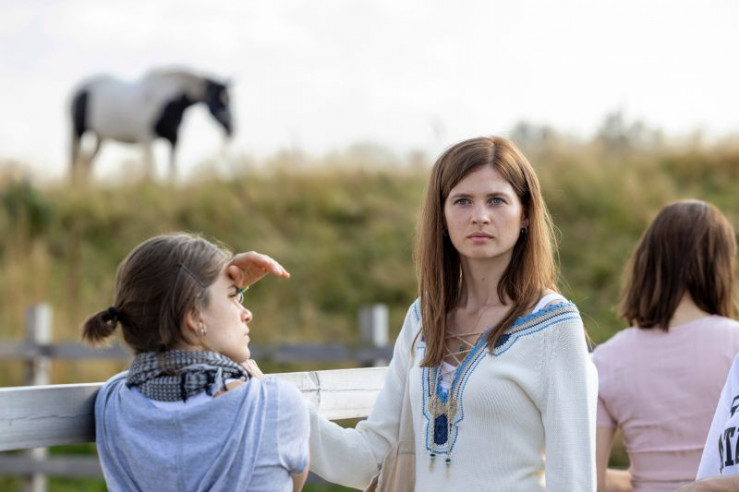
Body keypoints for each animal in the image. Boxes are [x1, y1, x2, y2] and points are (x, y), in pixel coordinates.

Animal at [69, 68, 233, 182]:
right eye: (220, 100)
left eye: (229, 99)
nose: (231, 129)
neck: (169, 101)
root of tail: (78, 89)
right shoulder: (146, 138)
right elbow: (151, 170)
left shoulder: (174, 139)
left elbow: (172, 169)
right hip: (78, 131)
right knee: (75, 158)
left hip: (100, 138)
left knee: (86, 162)